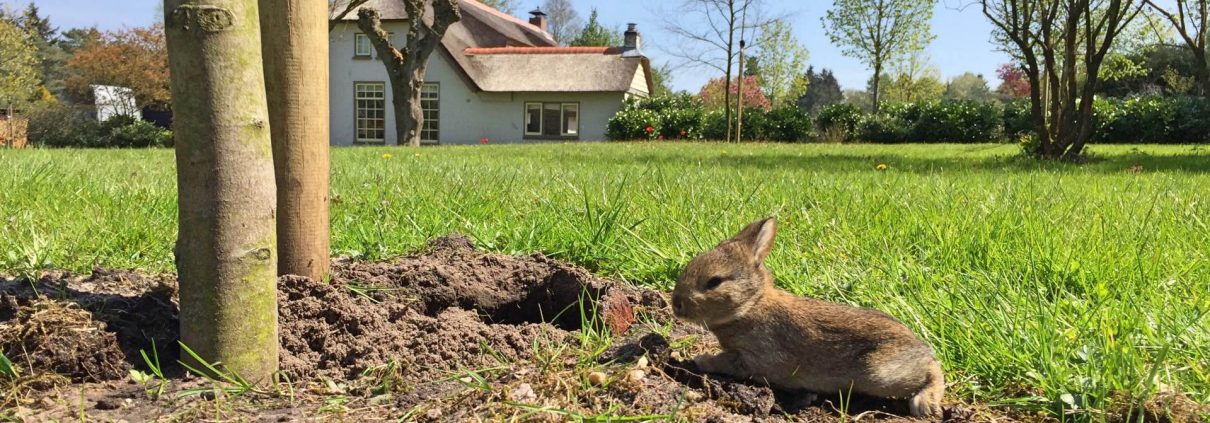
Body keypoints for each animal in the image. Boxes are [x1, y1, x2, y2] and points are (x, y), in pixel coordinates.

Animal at [672, 219, 943, 418]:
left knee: (933, 370)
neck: (750, 306)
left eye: (714, 281)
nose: (676, 304)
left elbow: (729, 362)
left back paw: (924, 405)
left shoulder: (759, 356)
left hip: (878, 373)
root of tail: (920, 348)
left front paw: (701, 360)